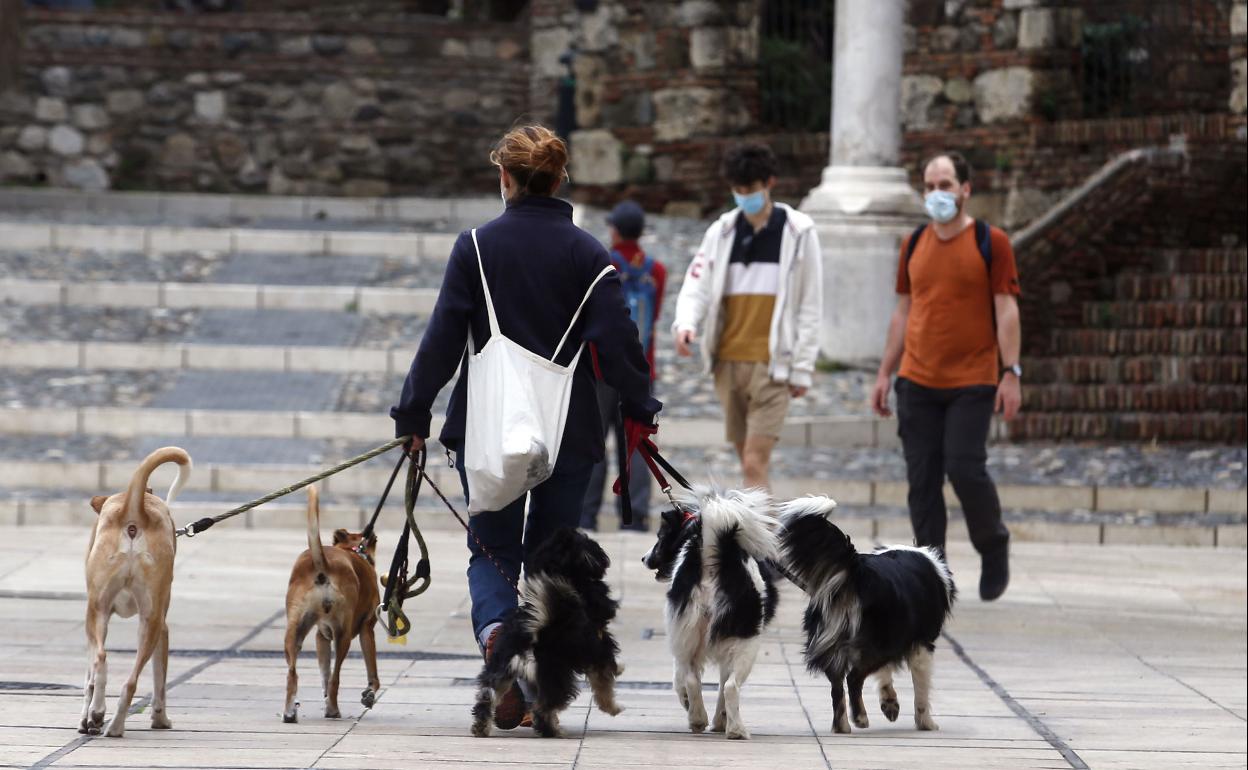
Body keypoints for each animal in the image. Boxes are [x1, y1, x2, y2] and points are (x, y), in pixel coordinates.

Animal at [81, 446, 192, 733]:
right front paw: (160, 719)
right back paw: (113, 724)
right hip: (147, 621)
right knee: (125, 678)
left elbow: (89, 678)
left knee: (101, 659)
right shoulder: (162, 628)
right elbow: (159, 680)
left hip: (102, 614)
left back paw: (101, 715)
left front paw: (87, 718)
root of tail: (133, 511)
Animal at [283, 486, 379, 718]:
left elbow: (324, 676)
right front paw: (370, 693)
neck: (354, 551)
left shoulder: (321, 636)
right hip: (343, 636)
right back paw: (333, 710)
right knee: (335, 678)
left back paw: (290, 712)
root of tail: (322, 565)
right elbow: (372, 672)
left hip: (295, 629)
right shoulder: (366, 628)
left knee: (293, 674)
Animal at [469, 526, 624, 733]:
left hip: (501, 669)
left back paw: (481, 727)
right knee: (544, 707)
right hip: (556, 674)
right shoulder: (599, 647)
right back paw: (552, 730)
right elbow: (604, 682)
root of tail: (534, 634)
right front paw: (613, 707)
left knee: (487, 696)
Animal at [643, 486, 778, 738]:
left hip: (689, 633)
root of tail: (713, 558)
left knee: (694, 679)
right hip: (746, 641)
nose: (644, 558)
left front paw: (703, 714)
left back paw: (698, 719)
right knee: (731, 686)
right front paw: (719, 722)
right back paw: (734, 729)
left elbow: (683, 681)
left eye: (660, 537)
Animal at [778, 496, 953, 733]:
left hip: (834, 639)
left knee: (836, 687)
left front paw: (890, 703)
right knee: (853, 678)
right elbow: (921, 689)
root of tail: (858, 570)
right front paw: (926, 723)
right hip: (881, 643)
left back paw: (842, 726)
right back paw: (859, 717)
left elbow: (885, 676)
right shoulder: (922, 645)